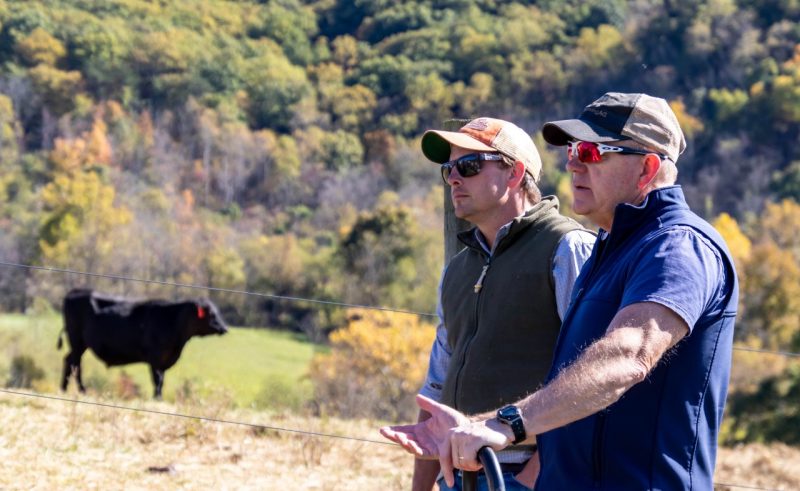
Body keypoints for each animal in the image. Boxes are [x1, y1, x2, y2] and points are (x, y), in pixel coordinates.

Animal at [57, 288, 227, 400]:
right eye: (211, 314)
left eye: (218, 312)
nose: (224, 328)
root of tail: (76, 291)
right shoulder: (155, 358)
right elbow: (157, 380)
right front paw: (157, 398)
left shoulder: (164, 359)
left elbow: (161, 380)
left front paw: (158, 398)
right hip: (77, 341)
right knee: (75, 364)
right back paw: (82, 391)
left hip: (79, 344)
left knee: (68, 360)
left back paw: (63, 389)